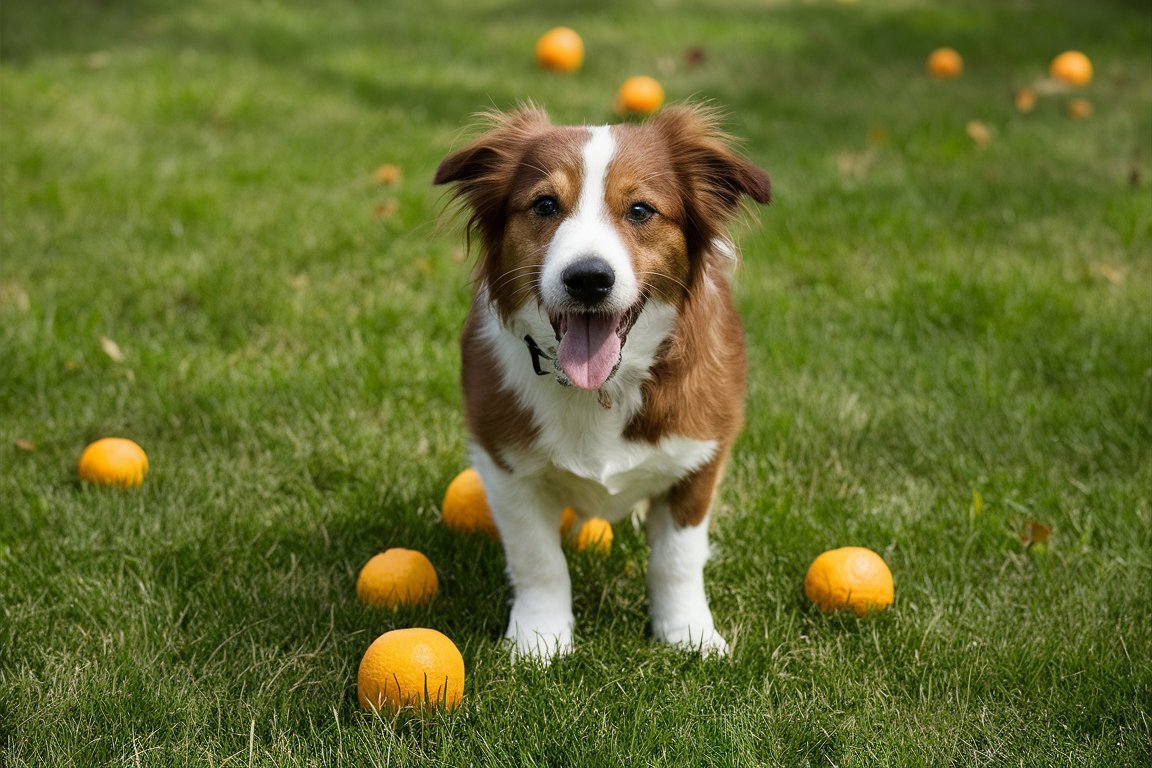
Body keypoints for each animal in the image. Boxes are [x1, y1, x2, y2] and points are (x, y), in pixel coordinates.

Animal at [435, 105, 769, 663]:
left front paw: (688, 635)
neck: (601, 388)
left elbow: (678, 559)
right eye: (545, 204)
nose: (588, 278)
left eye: (640, 210)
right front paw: (540, 639)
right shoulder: (503, 463)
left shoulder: (701, 457)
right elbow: (538, 558)